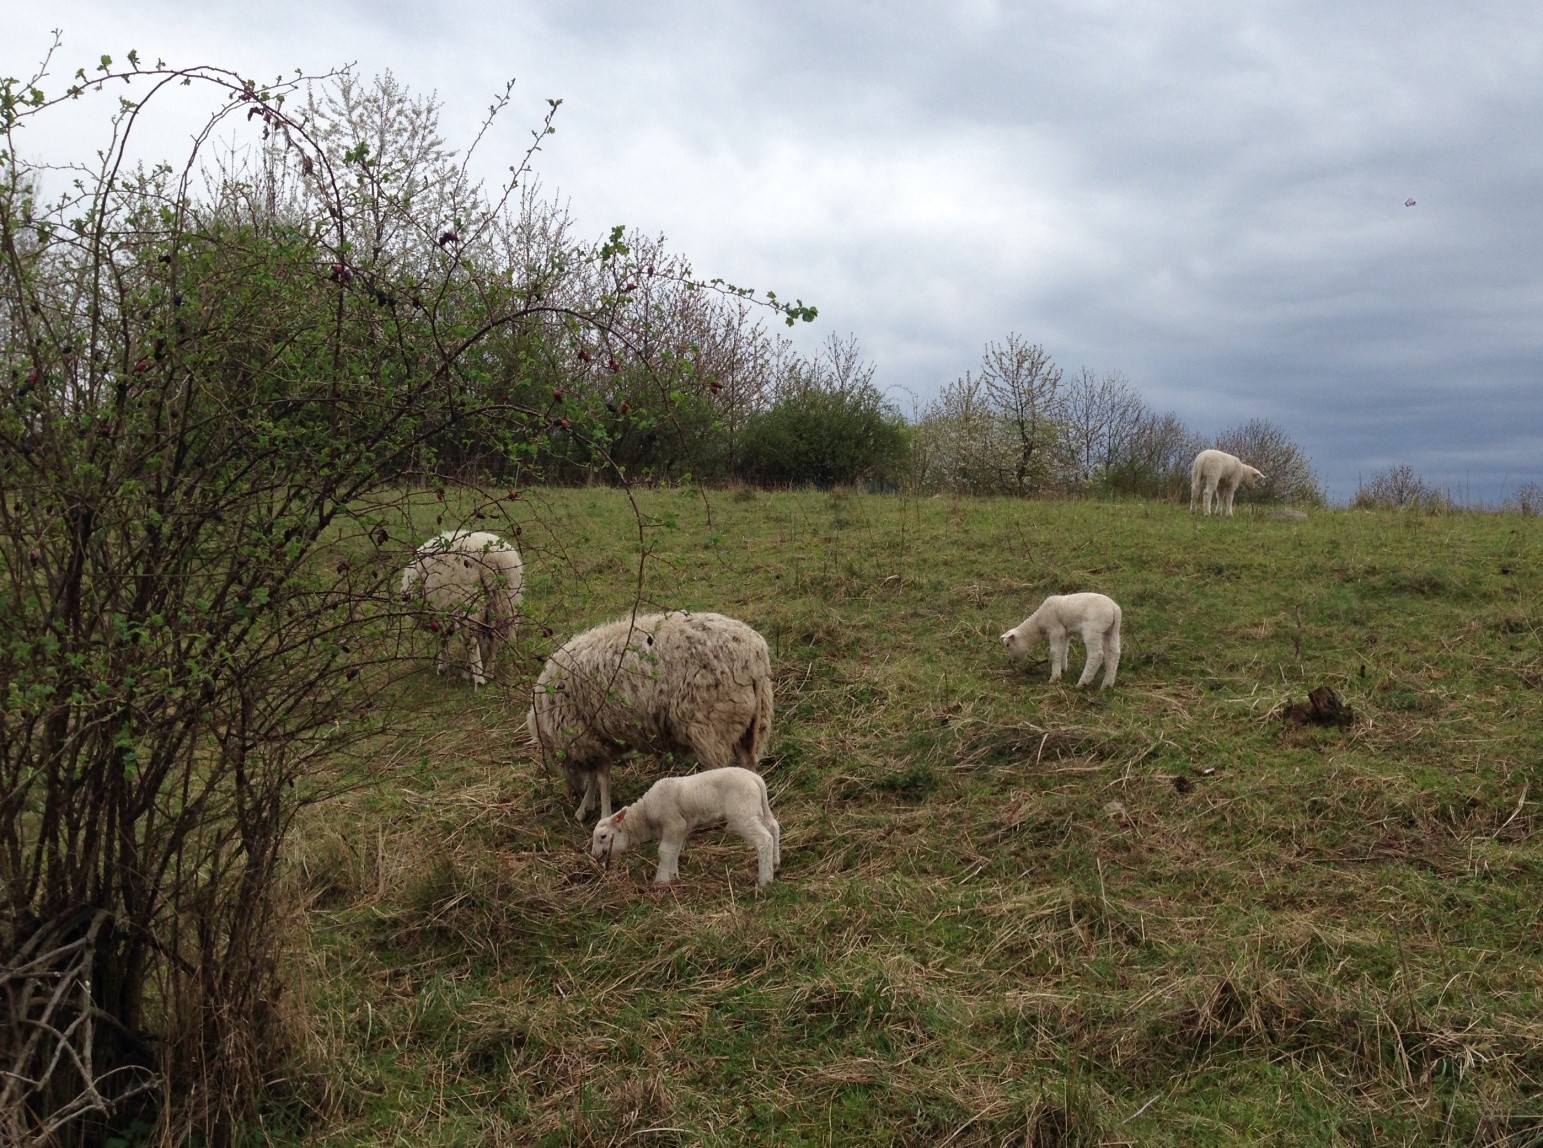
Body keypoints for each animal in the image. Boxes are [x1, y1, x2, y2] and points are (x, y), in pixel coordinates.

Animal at [398, 530, 524, 685]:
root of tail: (490, 559)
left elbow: (441, 638)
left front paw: (443, 668)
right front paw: (466, 668)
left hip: (466, 602)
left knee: (472, 642)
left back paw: (479, 680)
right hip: (504, 601)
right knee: (494, 639)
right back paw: (488, 672)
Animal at [527, 611, 771, 827]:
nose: (574, 792)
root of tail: (753, 657)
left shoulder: (589, 735)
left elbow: (602, 778)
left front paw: (600, 812)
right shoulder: (596, 739)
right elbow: (597, 776)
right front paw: (586, 806)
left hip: (709, 725)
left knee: (719, 768)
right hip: (750, 721)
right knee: (748, 763)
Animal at [589, 765, 783, 894]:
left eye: (603, 836)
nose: (595, 856)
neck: (645, 814)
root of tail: (756, 780)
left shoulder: (673, 824)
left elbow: (663, 851)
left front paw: (660, 881)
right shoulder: (680, 829)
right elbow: (674, 851)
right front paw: (674, 876)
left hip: (742, 813)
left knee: (764, 840)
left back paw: (765, 880)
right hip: (755, 809)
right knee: (773, 826)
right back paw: (775, 863)